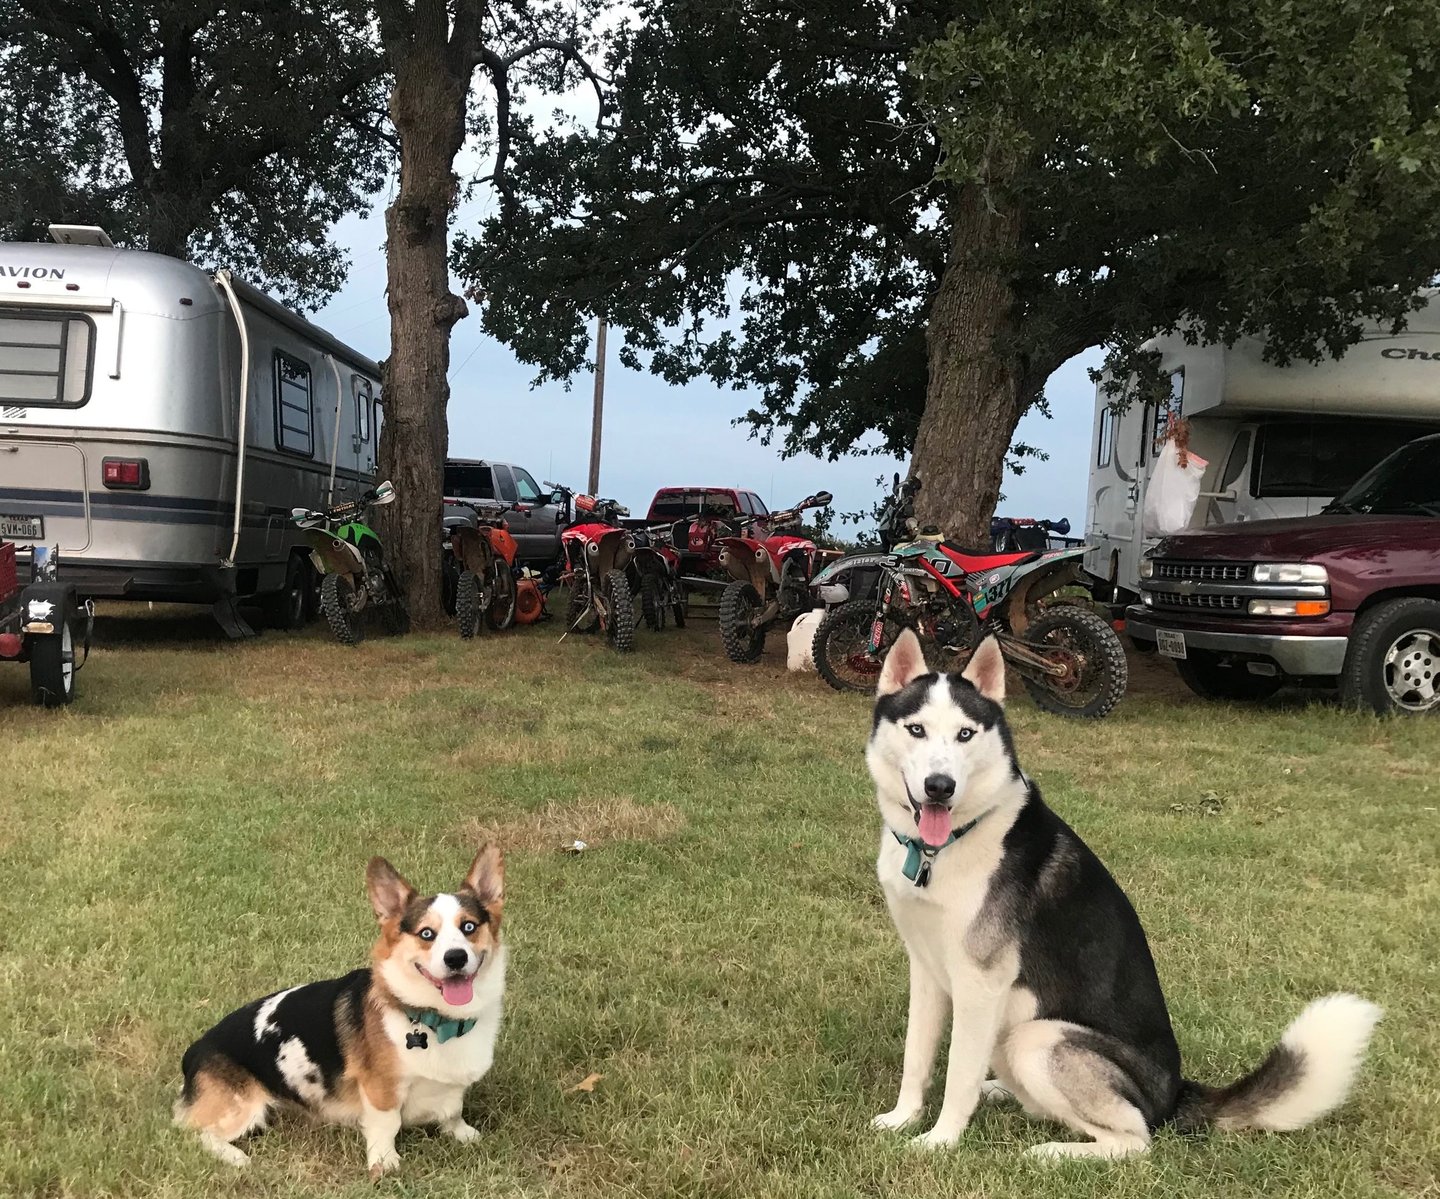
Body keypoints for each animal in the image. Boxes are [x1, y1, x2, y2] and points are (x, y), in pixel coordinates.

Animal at [174, 847, 506, 1175]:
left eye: (469, 927)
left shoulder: (451, 1089)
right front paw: (384, 1163)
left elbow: (453, 1110)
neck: (437, 1019)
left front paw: (463, 1134)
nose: (456, 958)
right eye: (426, 934)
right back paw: (234, 1156)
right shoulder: (380, 1089)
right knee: (192, 1131)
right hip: (240, 1107)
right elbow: (387, 1124)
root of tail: (194, 1050)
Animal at [866, 630, 1380, 1159]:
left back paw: (1055, 1153)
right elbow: (917, 1058)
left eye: (965, 734)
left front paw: (940, 1141)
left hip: (1036, 1039)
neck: (944, 845)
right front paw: (903, 1118)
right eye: (917, 730)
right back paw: (1003, 1094)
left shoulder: (980, 983)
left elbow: (957, 1074)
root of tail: (1175, 1095)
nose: (939, 787)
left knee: (1135, 1139)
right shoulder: (927, 968)